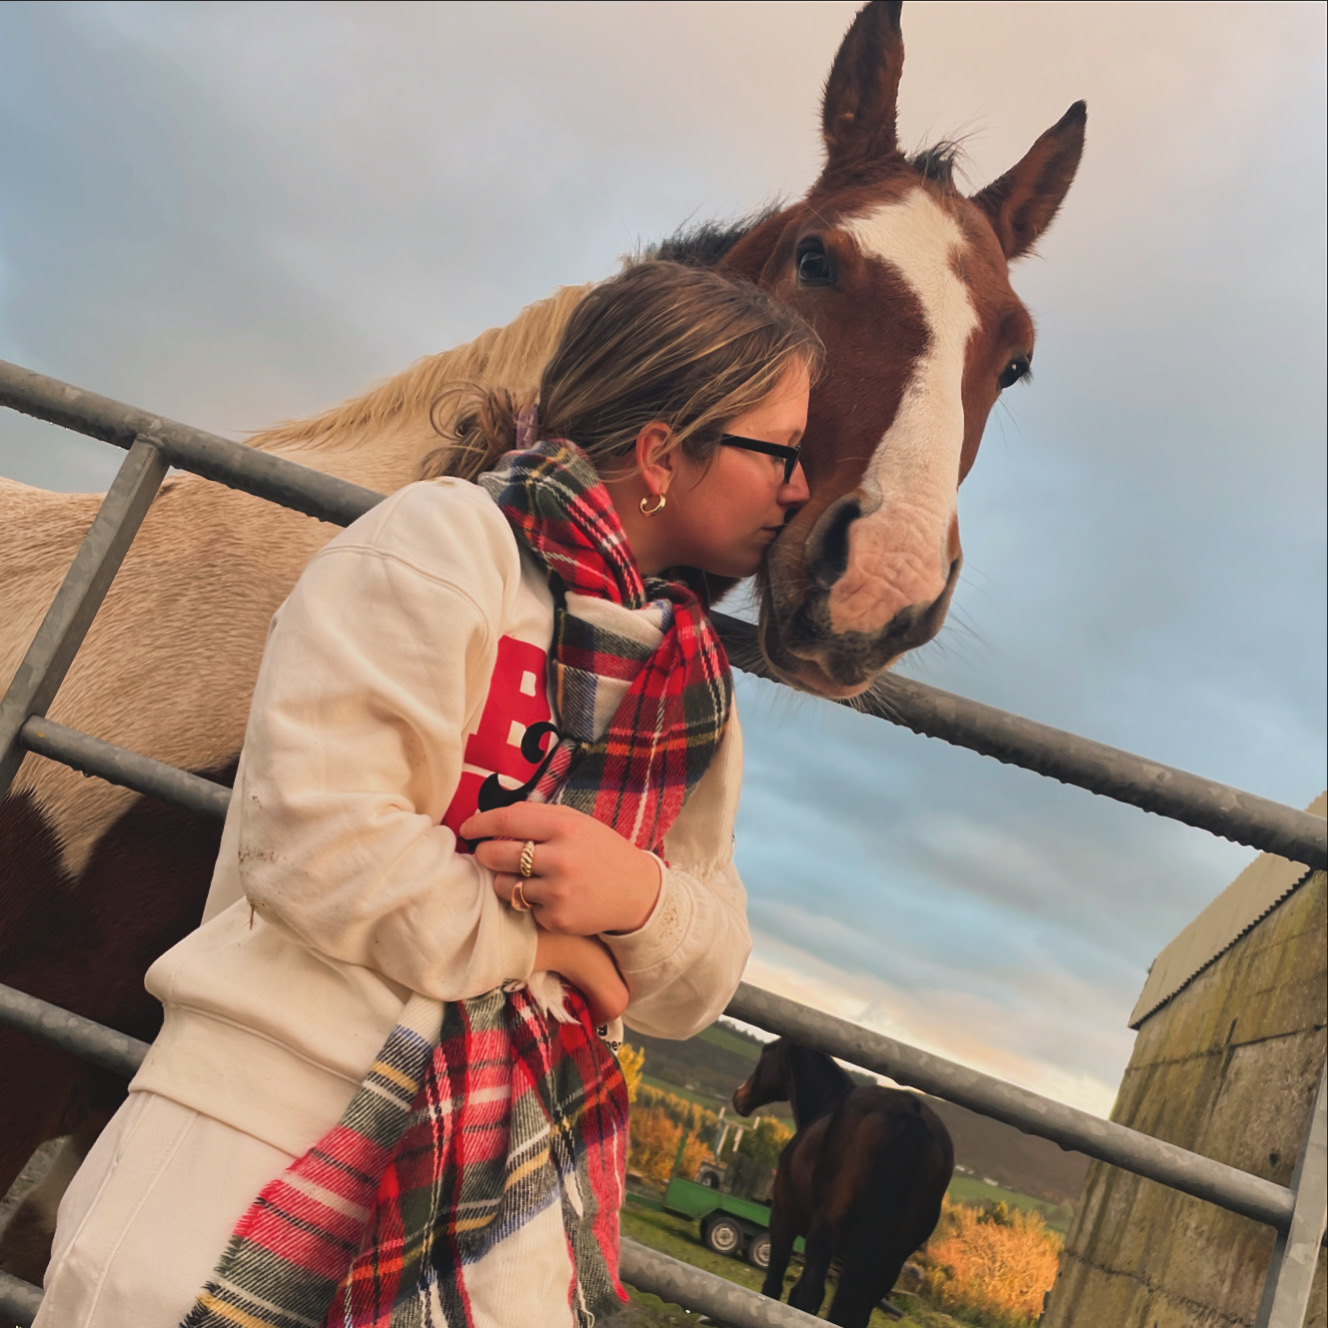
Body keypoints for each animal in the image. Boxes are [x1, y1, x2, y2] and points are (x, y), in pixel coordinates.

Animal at [733, 1039, 954, 1327]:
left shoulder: (782, 1219)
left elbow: (774, 1286)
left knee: (810, 1294)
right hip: (890, 1259)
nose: (739, 1097)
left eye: (765, 1052)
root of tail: (910, 1117)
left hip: (825, 1234)